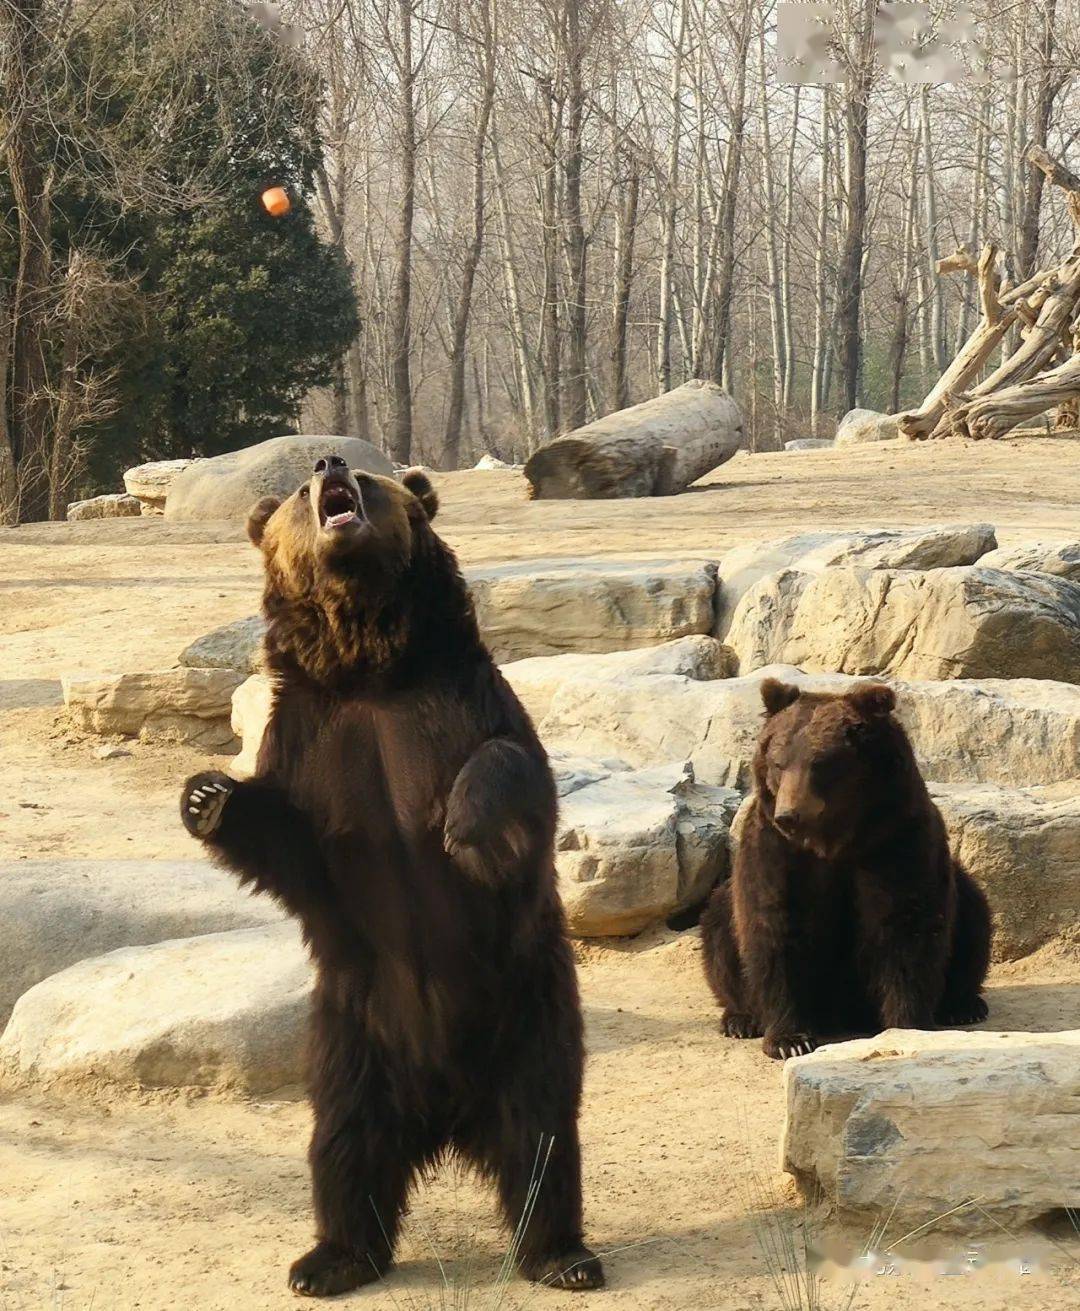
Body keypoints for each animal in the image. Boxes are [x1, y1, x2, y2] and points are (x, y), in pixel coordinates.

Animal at [175, 456, 600, 1295]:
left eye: (370, 475)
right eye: (299, 495)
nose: (327, 463)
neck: (368, 668)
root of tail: (446, 1111)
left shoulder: (459, 698)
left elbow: (510, 764)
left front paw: (463, 827)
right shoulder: (311, 739)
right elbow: (292, 841)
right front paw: (207, 795)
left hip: (526, 1006)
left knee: (540, 1134)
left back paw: (562, 1253)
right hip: (354, 1030)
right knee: (344, 1144)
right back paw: (329, 1258)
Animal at [702, 681, 990, 1059]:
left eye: (820, 763)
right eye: (779, 762)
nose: (789, 815)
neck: (834, 841)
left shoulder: (895, 840)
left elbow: (907, 928)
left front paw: (908, 1025)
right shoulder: (776, 851)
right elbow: (774, 925)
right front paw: (790, 1040)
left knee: (974, 914)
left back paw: (963, 1006)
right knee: (720, 929)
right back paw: (741, 1019)